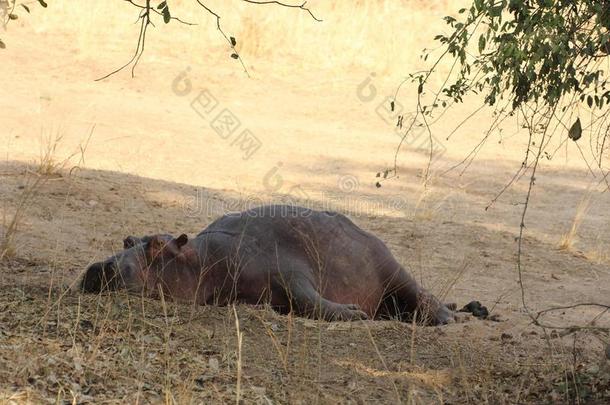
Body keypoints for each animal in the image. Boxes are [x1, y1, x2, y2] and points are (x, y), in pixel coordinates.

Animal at [81, 204, 452, 324]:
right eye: (127, 240)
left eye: (158, 245)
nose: (102, 267)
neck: (199, 260)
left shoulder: (289, 273)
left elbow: (310, 301)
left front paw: (354, 313)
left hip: (392, 268)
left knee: (420, 294)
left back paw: (443, 317)